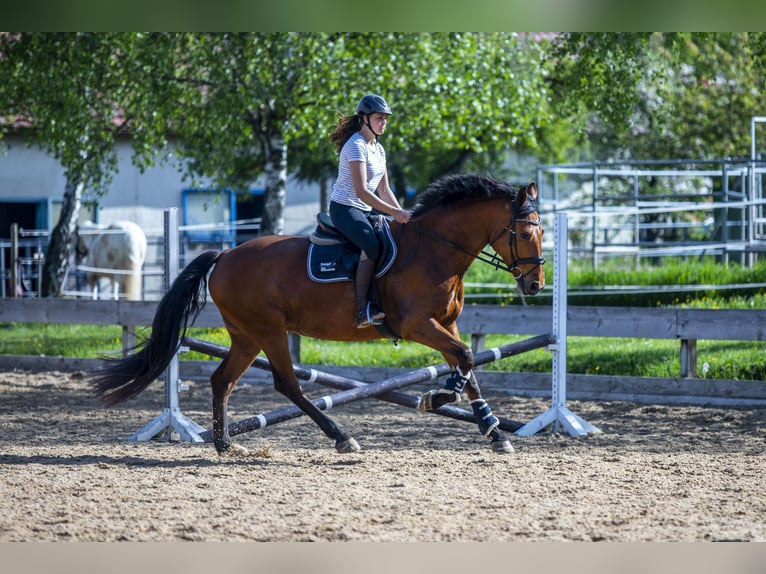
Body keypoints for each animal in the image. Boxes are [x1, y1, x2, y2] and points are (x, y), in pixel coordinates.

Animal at [89, 174, 545, 455]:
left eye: (542, 231)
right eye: (525, 232)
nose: (535, 285)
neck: (436, 250)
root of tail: (225, 255)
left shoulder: (446, 324)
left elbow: (468, 367)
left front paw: (492, 431)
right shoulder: (419, 325)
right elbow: (465, 360)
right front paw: (435, 398)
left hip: (246, 336)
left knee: (223, 381)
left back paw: (225, 444)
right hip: (269, 331)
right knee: (288, 384)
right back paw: (341, 437)